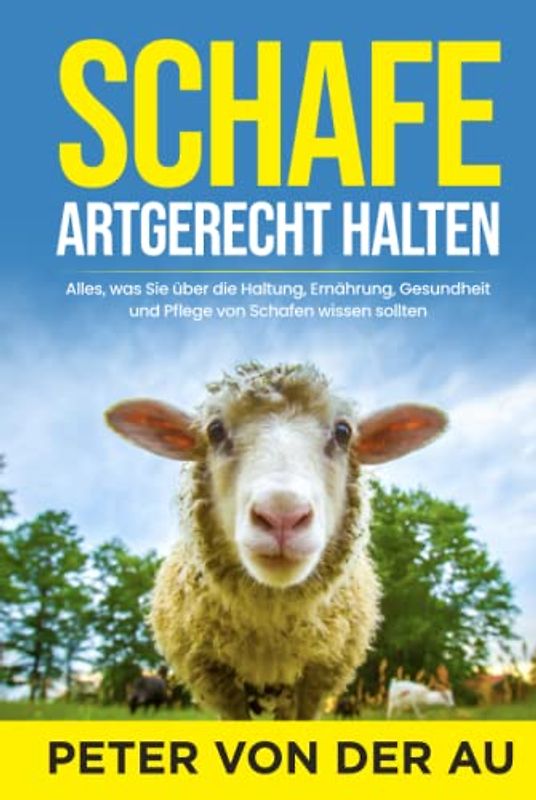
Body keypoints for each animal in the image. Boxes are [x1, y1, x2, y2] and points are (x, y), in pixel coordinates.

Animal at [106, 362, 447, 719]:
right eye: (214, 431)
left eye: (343, 432)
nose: (282, 514)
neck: (269, 624)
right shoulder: (215, 676)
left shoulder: (316, 677)